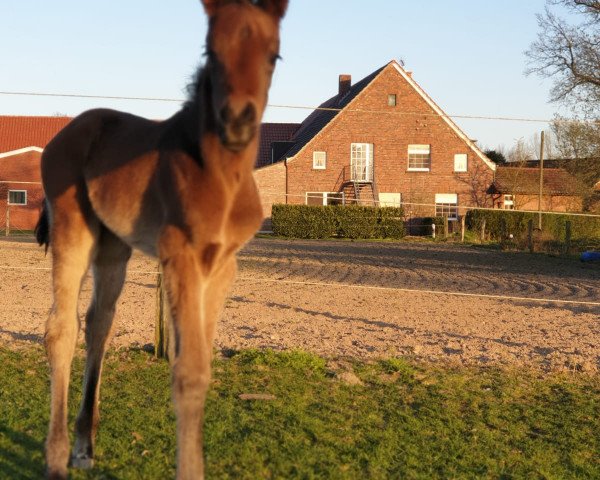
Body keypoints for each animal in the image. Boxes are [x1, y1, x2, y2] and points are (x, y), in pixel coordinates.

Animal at [35, 1, 288, 478]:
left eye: (274, 56)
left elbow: (202, 367)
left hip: (113, 247)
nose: (237, 122)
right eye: (210, 51)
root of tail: (66, 132)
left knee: (99, 324)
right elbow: (186, 372)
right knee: (61, 329)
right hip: (72, 227)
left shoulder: (222, 266)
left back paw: (84, 447)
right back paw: (57, 459)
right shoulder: (179, 256)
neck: (219, 177)